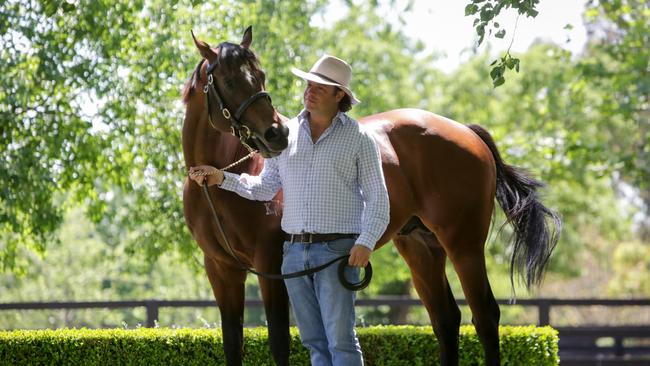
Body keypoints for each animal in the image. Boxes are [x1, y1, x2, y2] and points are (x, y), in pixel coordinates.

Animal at [181, 27, 556, 364]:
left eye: (259, 76)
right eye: (230, 82)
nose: (278, 135)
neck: (222, 183)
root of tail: (466, 131)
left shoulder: (271, 264)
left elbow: (278, 343)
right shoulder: (221, 270)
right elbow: (233, 342)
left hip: (464, 245)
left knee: (486, 316)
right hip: (420, 246)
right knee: (446, 319)